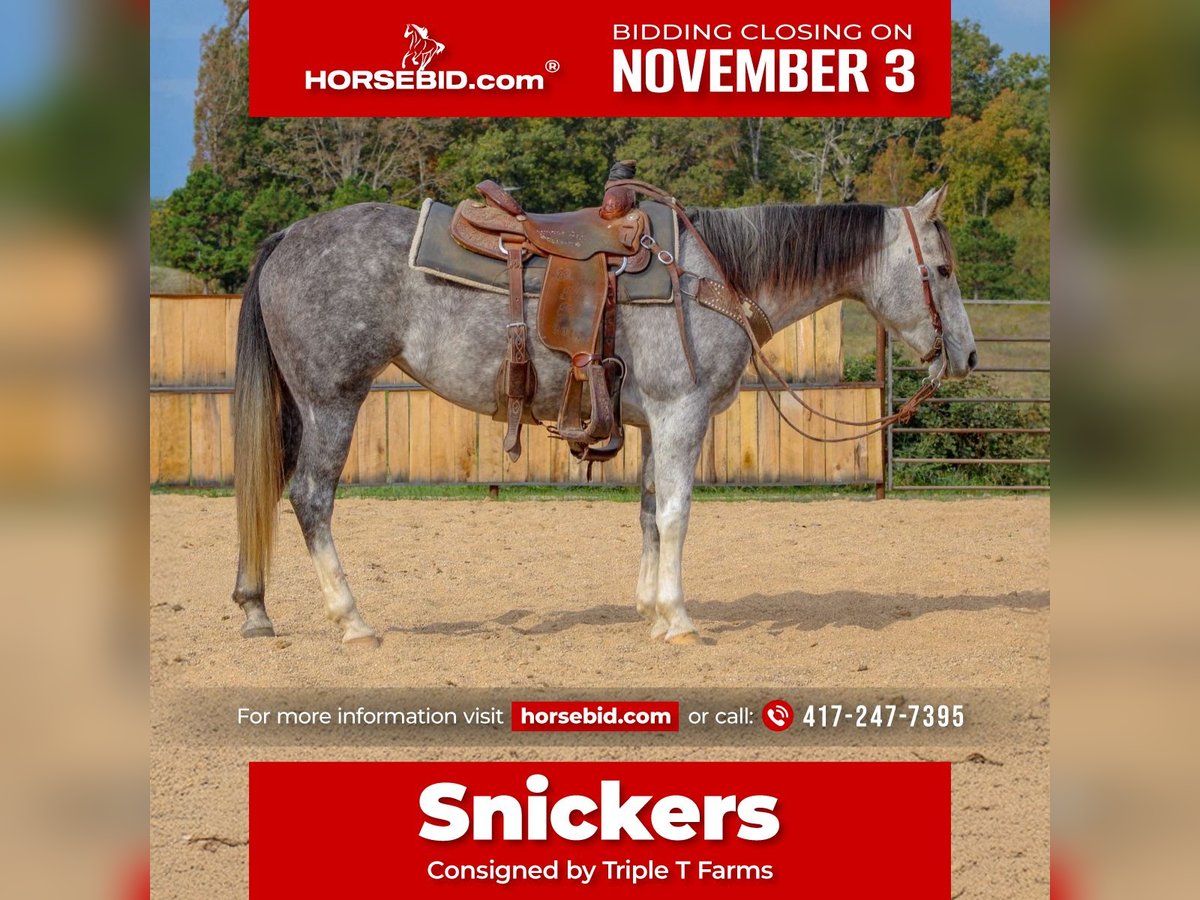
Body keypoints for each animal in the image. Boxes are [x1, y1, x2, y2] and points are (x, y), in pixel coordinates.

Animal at [231, 184, 977, 647]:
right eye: (941, 269)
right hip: (333, 401)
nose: (967, 355)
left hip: (301, 406)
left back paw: (256, 608)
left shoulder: (654, 423)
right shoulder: (682, 415)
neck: (715, 274)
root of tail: (289, 235)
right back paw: (352, 621)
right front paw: (679, 619)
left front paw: (651, 610)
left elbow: (648, 510)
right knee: (311, 497)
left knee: (266, 490)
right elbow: (676, 512)